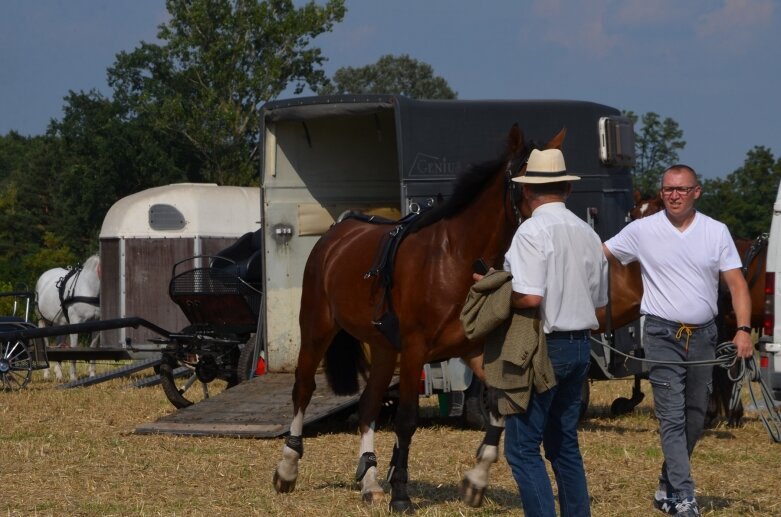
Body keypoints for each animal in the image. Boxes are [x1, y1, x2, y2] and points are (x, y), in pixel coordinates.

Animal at [272, 123, 564, 510]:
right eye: (524, 184)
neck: (457, 259)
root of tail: (336, 234)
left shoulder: (473, 350)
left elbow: (499, 409)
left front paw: (475, 481)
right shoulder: (414, 352)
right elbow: (407, 420)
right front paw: (401, 496)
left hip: (383, 349)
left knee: (368, 406)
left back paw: (370, 482)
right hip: (317, 329)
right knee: (303, 390)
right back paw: (288, 469)